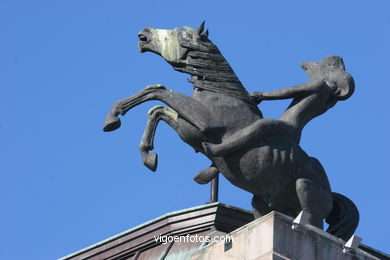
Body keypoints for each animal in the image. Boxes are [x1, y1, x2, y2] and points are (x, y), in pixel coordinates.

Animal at [104, 21, 360, 240]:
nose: (144, 33)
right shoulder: (189, 130)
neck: (220, 95)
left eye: (180, 33)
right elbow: (155, 108)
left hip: (304, 189)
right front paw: (147, 154)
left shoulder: (204, 125)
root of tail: (330, 195)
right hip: (266, 202)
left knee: (313, 222)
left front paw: (114, 120)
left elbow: (156, 91)